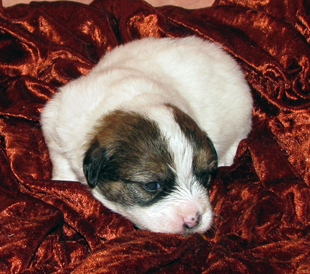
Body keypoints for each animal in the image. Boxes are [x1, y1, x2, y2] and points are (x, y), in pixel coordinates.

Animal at [40, 35, 252, 234]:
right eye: (151, 185)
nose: (194, 220)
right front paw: (64, 181)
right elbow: (62, 165)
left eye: (205, 175)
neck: (132, 101)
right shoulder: (56, 125)